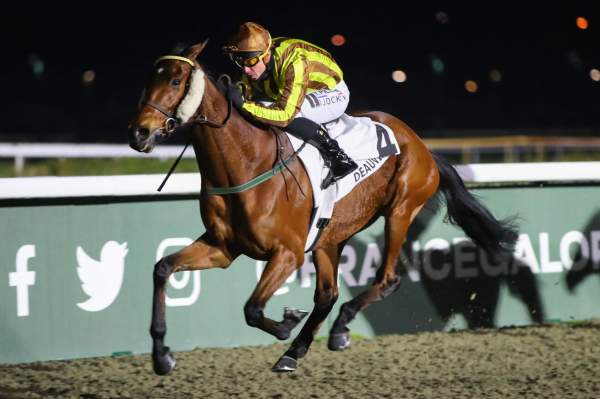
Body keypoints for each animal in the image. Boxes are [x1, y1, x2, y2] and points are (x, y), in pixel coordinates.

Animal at [127, 41, 520, 376]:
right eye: (148, 79)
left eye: (175, 79)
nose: (139, 133)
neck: (246, 162)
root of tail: (422, 145)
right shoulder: (223, 247)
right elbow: (162, 268)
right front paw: (162, 356)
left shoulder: (287, 253)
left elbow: (252, 309)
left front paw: (286, 322)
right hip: (330, 236)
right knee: (328, 295)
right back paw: (296, 352)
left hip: (400, 210)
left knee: (386, 279)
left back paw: (338, 328)